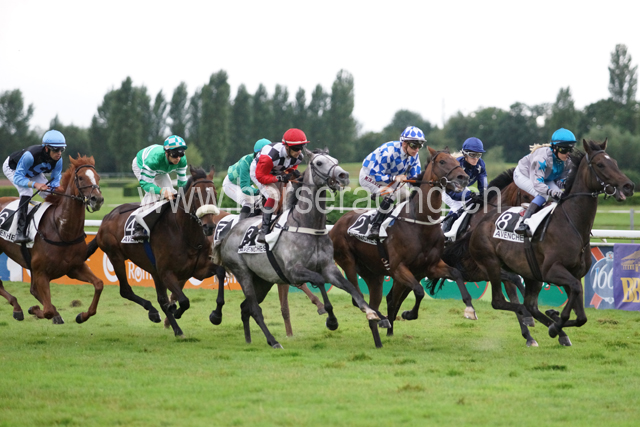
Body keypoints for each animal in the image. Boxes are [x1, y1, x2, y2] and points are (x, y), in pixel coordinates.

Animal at [0, 155, 104, 324]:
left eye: (98, 177)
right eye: (81, 178)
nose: (97, 199)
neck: (63, 231)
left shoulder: (75, 267)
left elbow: (99, 284)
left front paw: (82, 316)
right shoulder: (41, 272)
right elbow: (47, 310)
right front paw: (36, 310)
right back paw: (17, 308)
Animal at [87, 166, 224, 337]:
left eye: (215, 194)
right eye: (197, 195)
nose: (209, 227)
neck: (185, 234)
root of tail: (106, 218)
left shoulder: (199, 270)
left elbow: (220, 272)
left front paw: (216, 315)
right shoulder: (166, 273)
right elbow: (184, 301)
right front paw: (176, 310)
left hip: (153, 270)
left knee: (160, 299)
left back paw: (175, 328)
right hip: (115, 256)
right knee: (126, 290)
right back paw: (155, 313)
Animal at [212, 148, 385, 348]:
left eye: (335, 160)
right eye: (319, 163)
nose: (344, 176)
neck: (308, 225)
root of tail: (227, 235)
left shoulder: (329, 268)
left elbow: (352, 288)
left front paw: (371, 313)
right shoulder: (293, 272)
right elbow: (319, 281)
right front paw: (331, 319)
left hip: (263, 280)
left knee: (245, 307)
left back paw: (249, 339)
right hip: (243, 273)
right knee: (254, 308)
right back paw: (273, 341)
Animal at [330, 147, 474, 347]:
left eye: (457, 161)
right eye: (443, 161)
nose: (463, 178)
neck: (420, 224)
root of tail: (337, 224)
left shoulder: (431, 266)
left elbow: (456, 273)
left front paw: (470, 309)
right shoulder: (398, 268)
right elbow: (419, 291)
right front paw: (409, 314)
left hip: (373, 274)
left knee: (371, 301)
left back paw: (378, 338)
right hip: (348, 263)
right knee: (357, 298)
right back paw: (382, 320)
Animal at [438, 139, 634, 346]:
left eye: (615, 163)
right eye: (601, 164)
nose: (628, 186)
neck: (571, 224)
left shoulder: (571, 274)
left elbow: (580, 311)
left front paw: (555, 324)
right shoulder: (550, 271)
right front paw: (549, 326)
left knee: (527, 302)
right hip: (491, 264)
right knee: (500, 300)